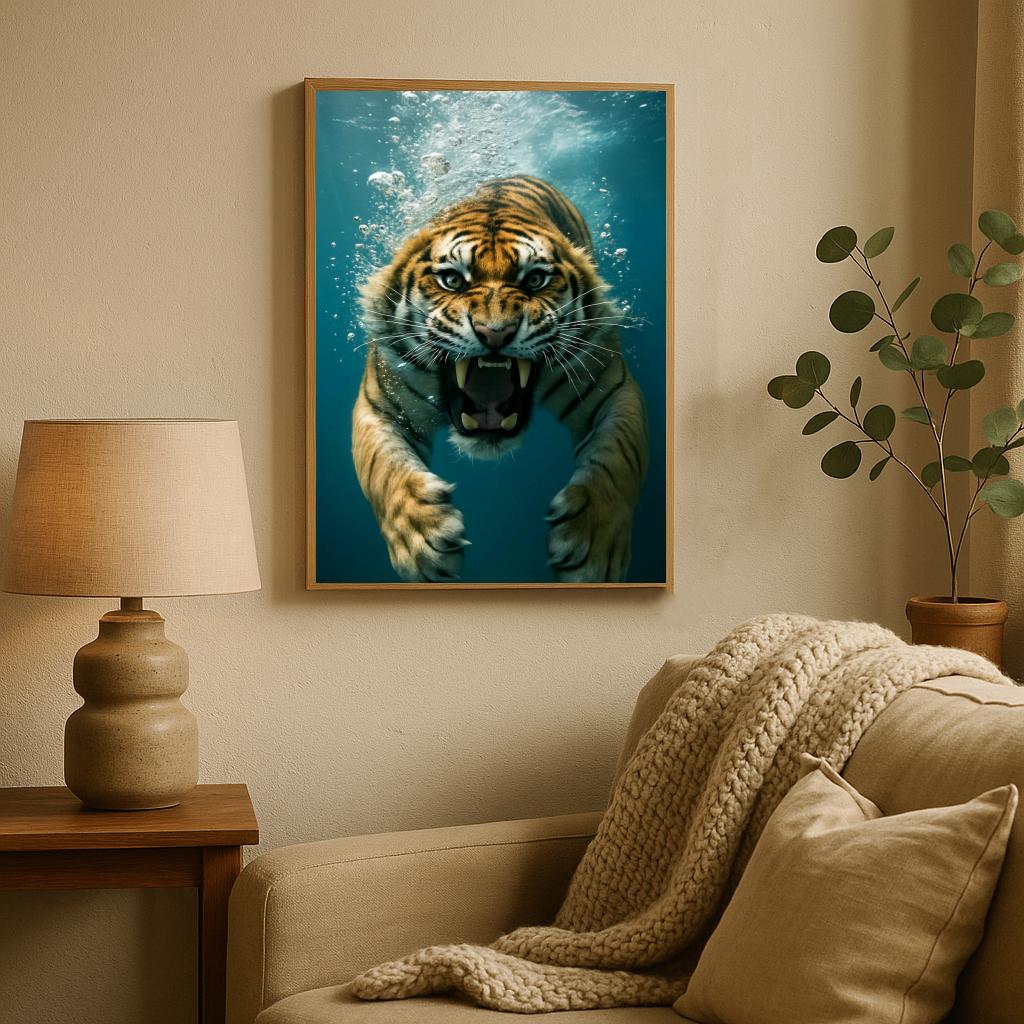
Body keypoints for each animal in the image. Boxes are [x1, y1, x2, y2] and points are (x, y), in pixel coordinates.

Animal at [352, 174, 649, 583]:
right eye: (452, 280)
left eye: (535, 279)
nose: (495, 333)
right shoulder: (380, 405)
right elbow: (382, 469)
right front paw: (421, 538)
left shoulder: (613, 391)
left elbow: (618, 460)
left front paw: (593, 543)